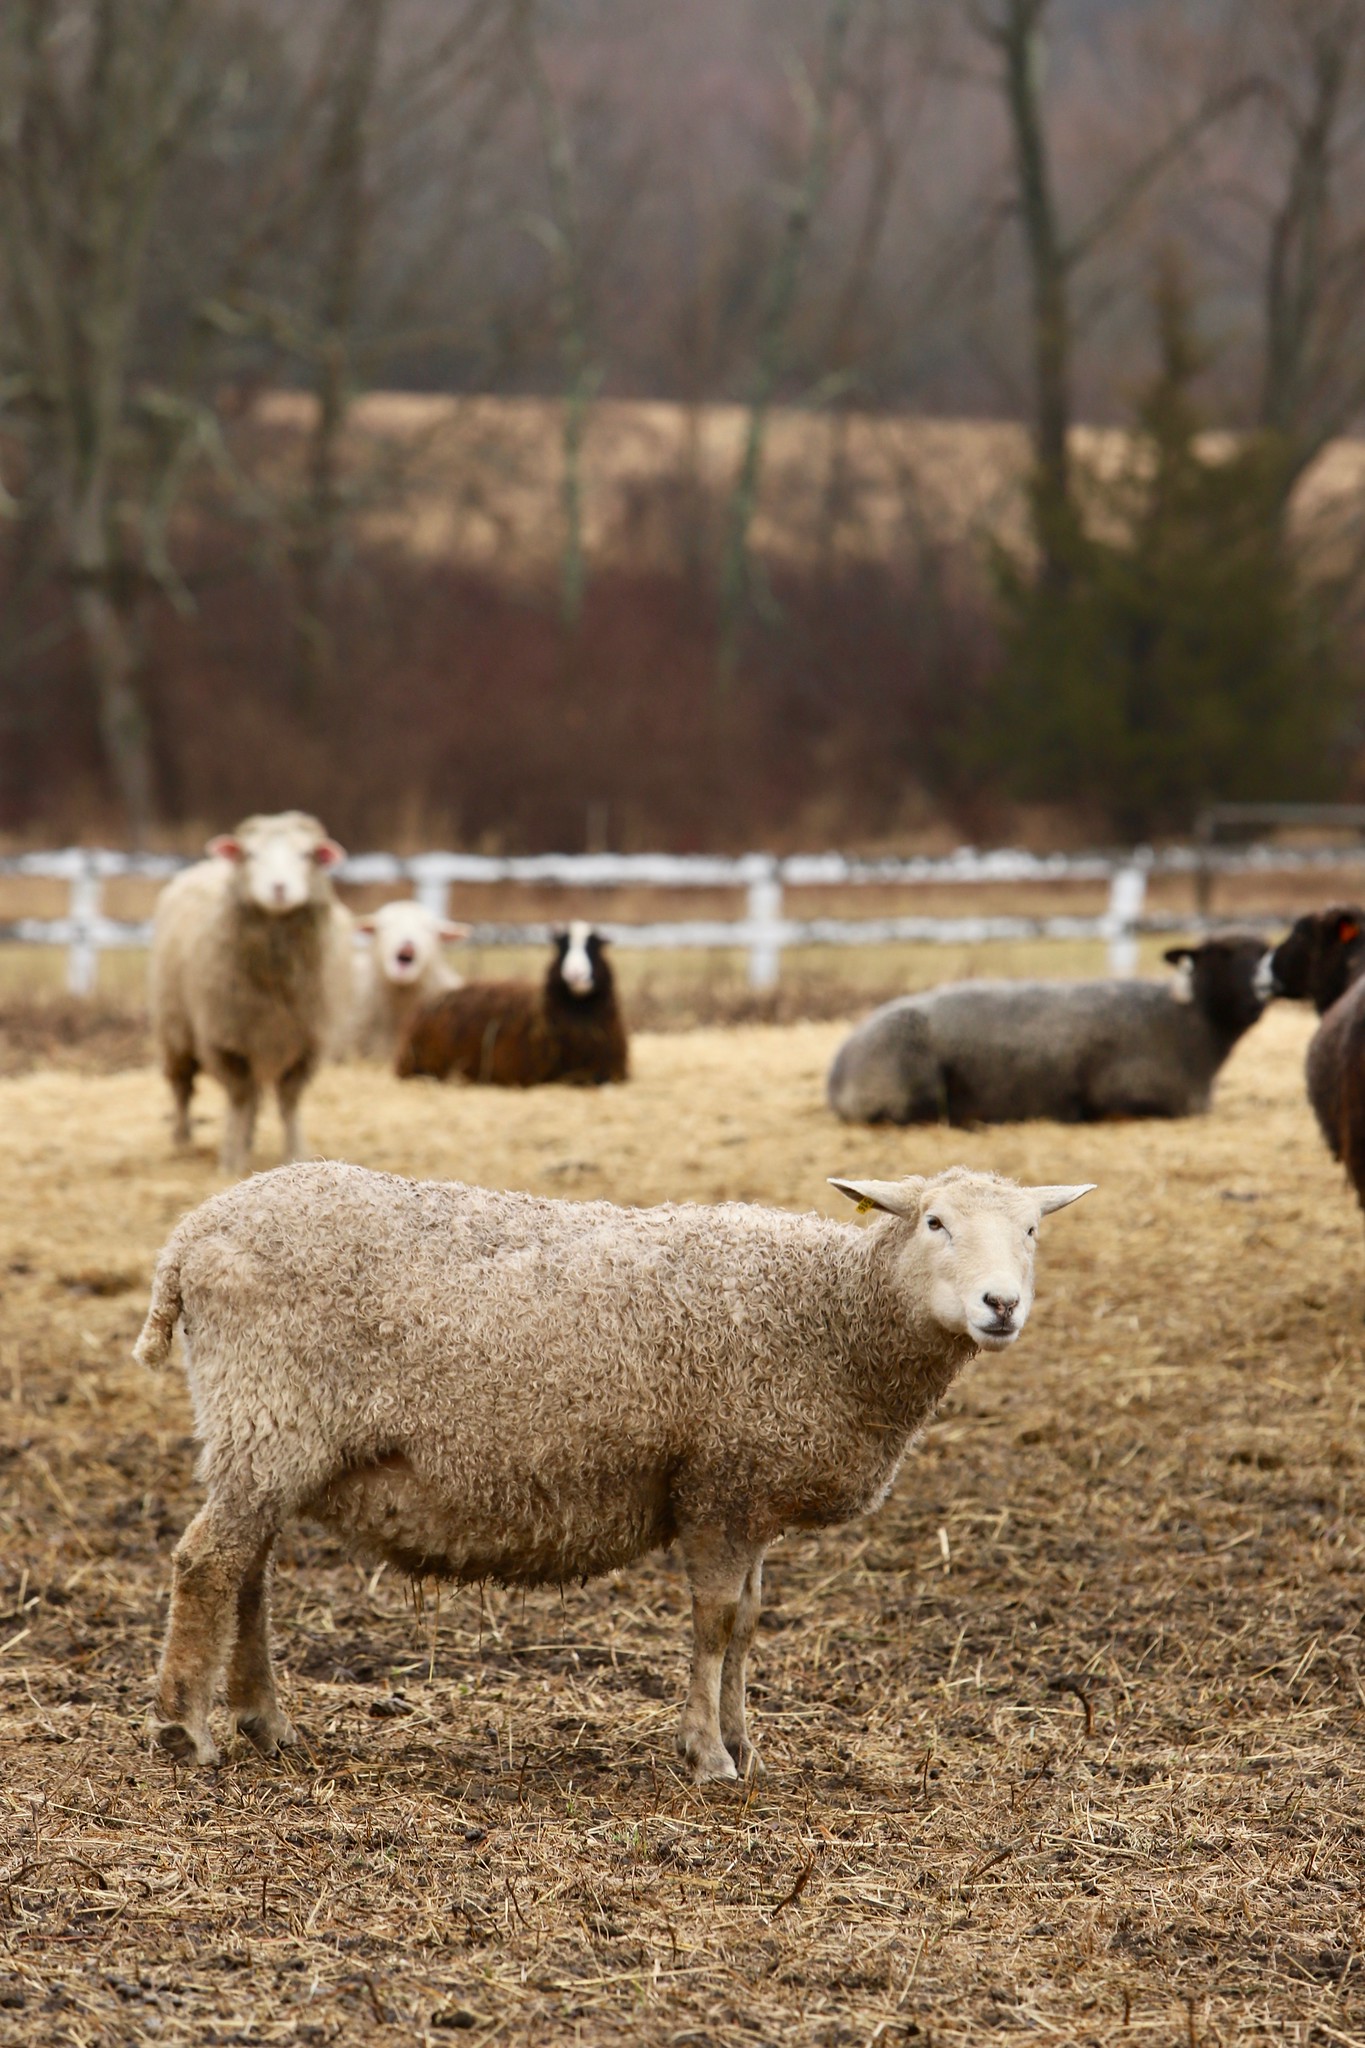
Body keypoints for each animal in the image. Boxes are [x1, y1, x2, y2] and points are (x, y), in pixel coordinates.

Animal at [136, 1171, 1096, 1777]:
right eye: (934, 1222)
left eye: (1031, 1230)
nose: (1001, 1304)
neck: (830, 1313)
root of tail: (187, 1238)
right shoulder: (719, 1482)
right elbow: (715, 1623)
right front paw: (707, 1755)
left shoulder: (748, 1492)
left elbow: (748, 1622)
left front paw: (744, 1743)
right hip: (269, 1414)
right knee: (207, 1563)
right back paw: (189, 1728)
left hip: (267, 1437)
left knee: (247, 1570)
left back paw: (264, 1721)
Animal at [149, 806, 356, 1179]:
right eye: (251, 854)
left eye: (307, 854)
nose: (279, 888)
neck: (276, 980)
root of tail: (208, 865)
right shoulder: (226, 1040)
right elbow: (240, 1098)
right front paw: (231, 1161)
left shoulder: (308, 1042)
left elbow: (288, 1101)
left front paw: (295, 1154)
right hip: (174, 1026)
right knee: (182, 1086)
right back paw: (183, 1138)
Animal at [834, 937, 1268, 1130]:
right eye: (1219, 956)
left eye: (1266, 954)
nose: (1260, 996)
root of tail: (838, 1068)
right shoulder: (1126, 1096)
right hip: (906, 1086)